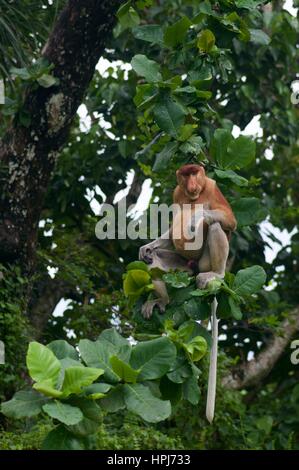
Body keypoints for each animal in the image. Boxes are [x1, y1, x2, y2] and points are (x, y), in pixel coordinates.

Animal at [139, 163, 238, 424]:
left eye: (196, 173)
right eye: (185, 175)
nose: (192, 184)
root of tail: (195, 270)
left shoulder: (212, 187)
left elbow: (228, 219)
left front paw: (196, 219)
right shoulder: (176, 193)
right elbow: (169, 232)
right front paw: (146, 247)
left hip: (203, 262)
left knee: (216, 227)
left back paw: (216, 275)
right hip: (183, 267)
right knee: (154, 260)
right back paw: (161, 299)